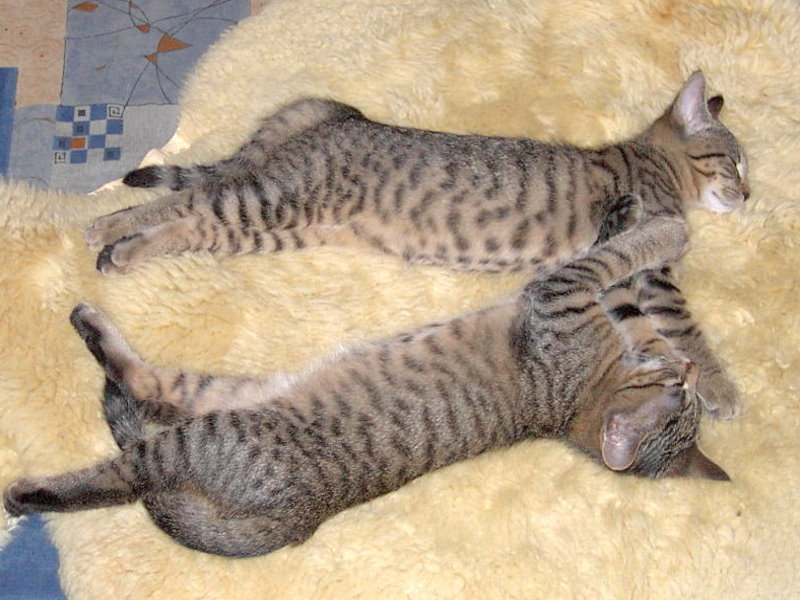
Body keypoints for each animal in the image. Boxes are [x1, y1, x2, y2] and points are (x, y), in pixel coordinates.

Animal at [4, 210, 729, 558]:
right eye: (680, 386)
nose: (691, 371)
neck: (574, 401)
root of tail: (299, 519)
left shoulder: (560, 294)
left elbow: (611, 259)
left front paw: (666, 229)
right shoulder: (572, 299)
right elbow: (613, 259)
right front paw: (642, 218)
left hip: (203, 432)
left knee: (125, 462)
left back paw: (27, 491)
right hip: (228, 393)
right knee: (146, 383)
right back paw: (91, 321)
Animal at [82, 71, 748, 420]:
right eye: (736, 160)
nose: (747, 193)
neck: (654, 162)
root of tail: (342, 116)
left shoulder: (624, 277)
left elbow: (634, 323)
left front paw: (659, 365)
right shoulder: (654, 273)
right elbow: (683, 325)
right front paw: (720, 388)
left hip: (276, 224)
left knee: (190, 213)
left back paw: (112, 239)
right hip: (276, 201)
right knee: (193, 201)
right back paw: (108, 240)